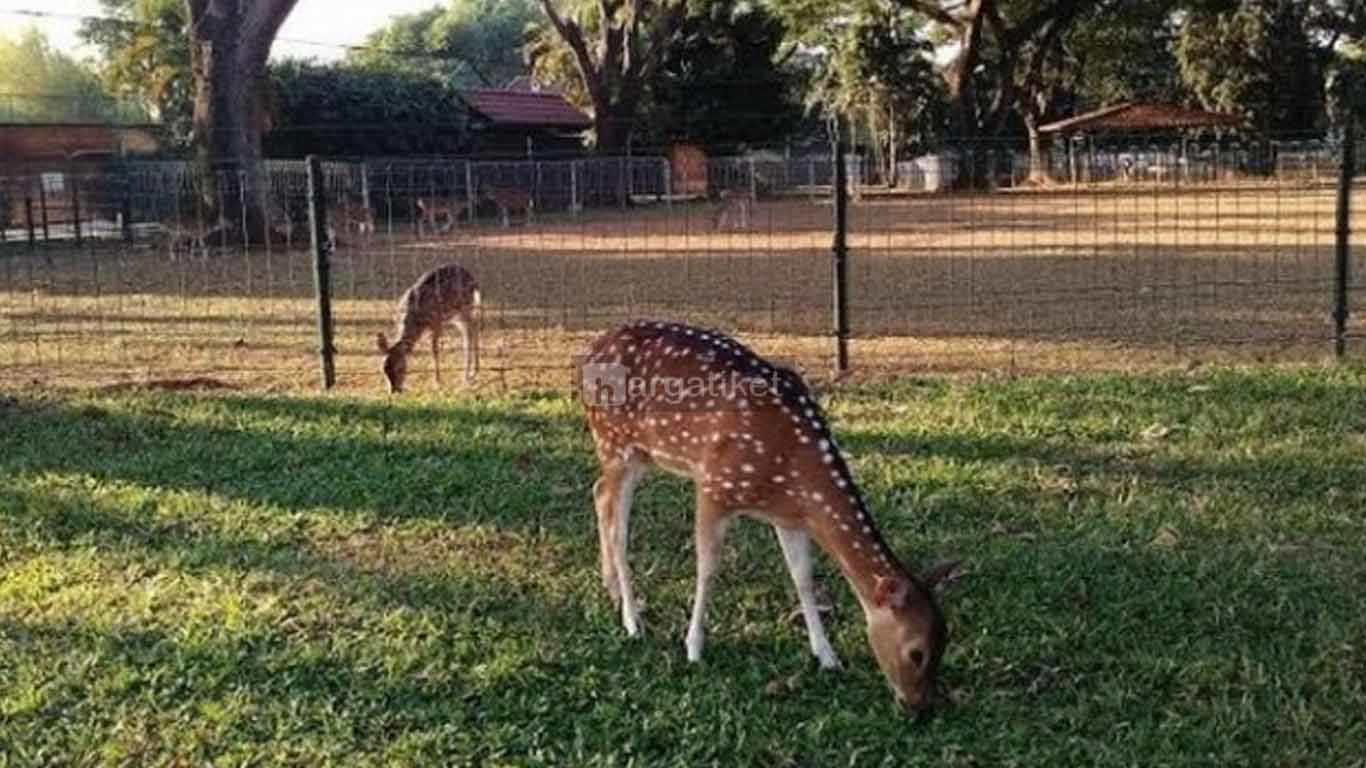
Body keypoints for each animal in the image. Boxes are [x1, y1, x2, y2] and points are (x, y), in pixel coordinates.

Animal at [374, 265, 480, 393]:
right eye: (383, 370)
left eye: (400, 368)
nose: (394, 390)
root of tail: (472, 278)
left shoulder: (436, 321)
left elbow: (434, 349)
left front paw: (437, 381)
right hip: (456, 315)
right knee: (470, 329)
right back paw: (471, 372)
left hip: (464, 306)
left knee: (472, 329)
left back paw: (469, 374)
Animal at [576, 319, 961, 716]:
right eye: (917, 652)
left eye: (945, 642)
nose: (919, 708)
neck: (792, 467)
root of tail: (589, 351)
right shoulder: (713, 485)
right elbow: (708, 568)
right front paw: (694, 647)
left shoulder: (788, 515)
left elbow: (803, 577)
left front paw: (827, 656)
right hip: (615, 443)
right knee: (617, 526)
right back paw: (632, 620)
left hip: (637, 455)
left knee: (598, 493)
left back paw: (612, 590)